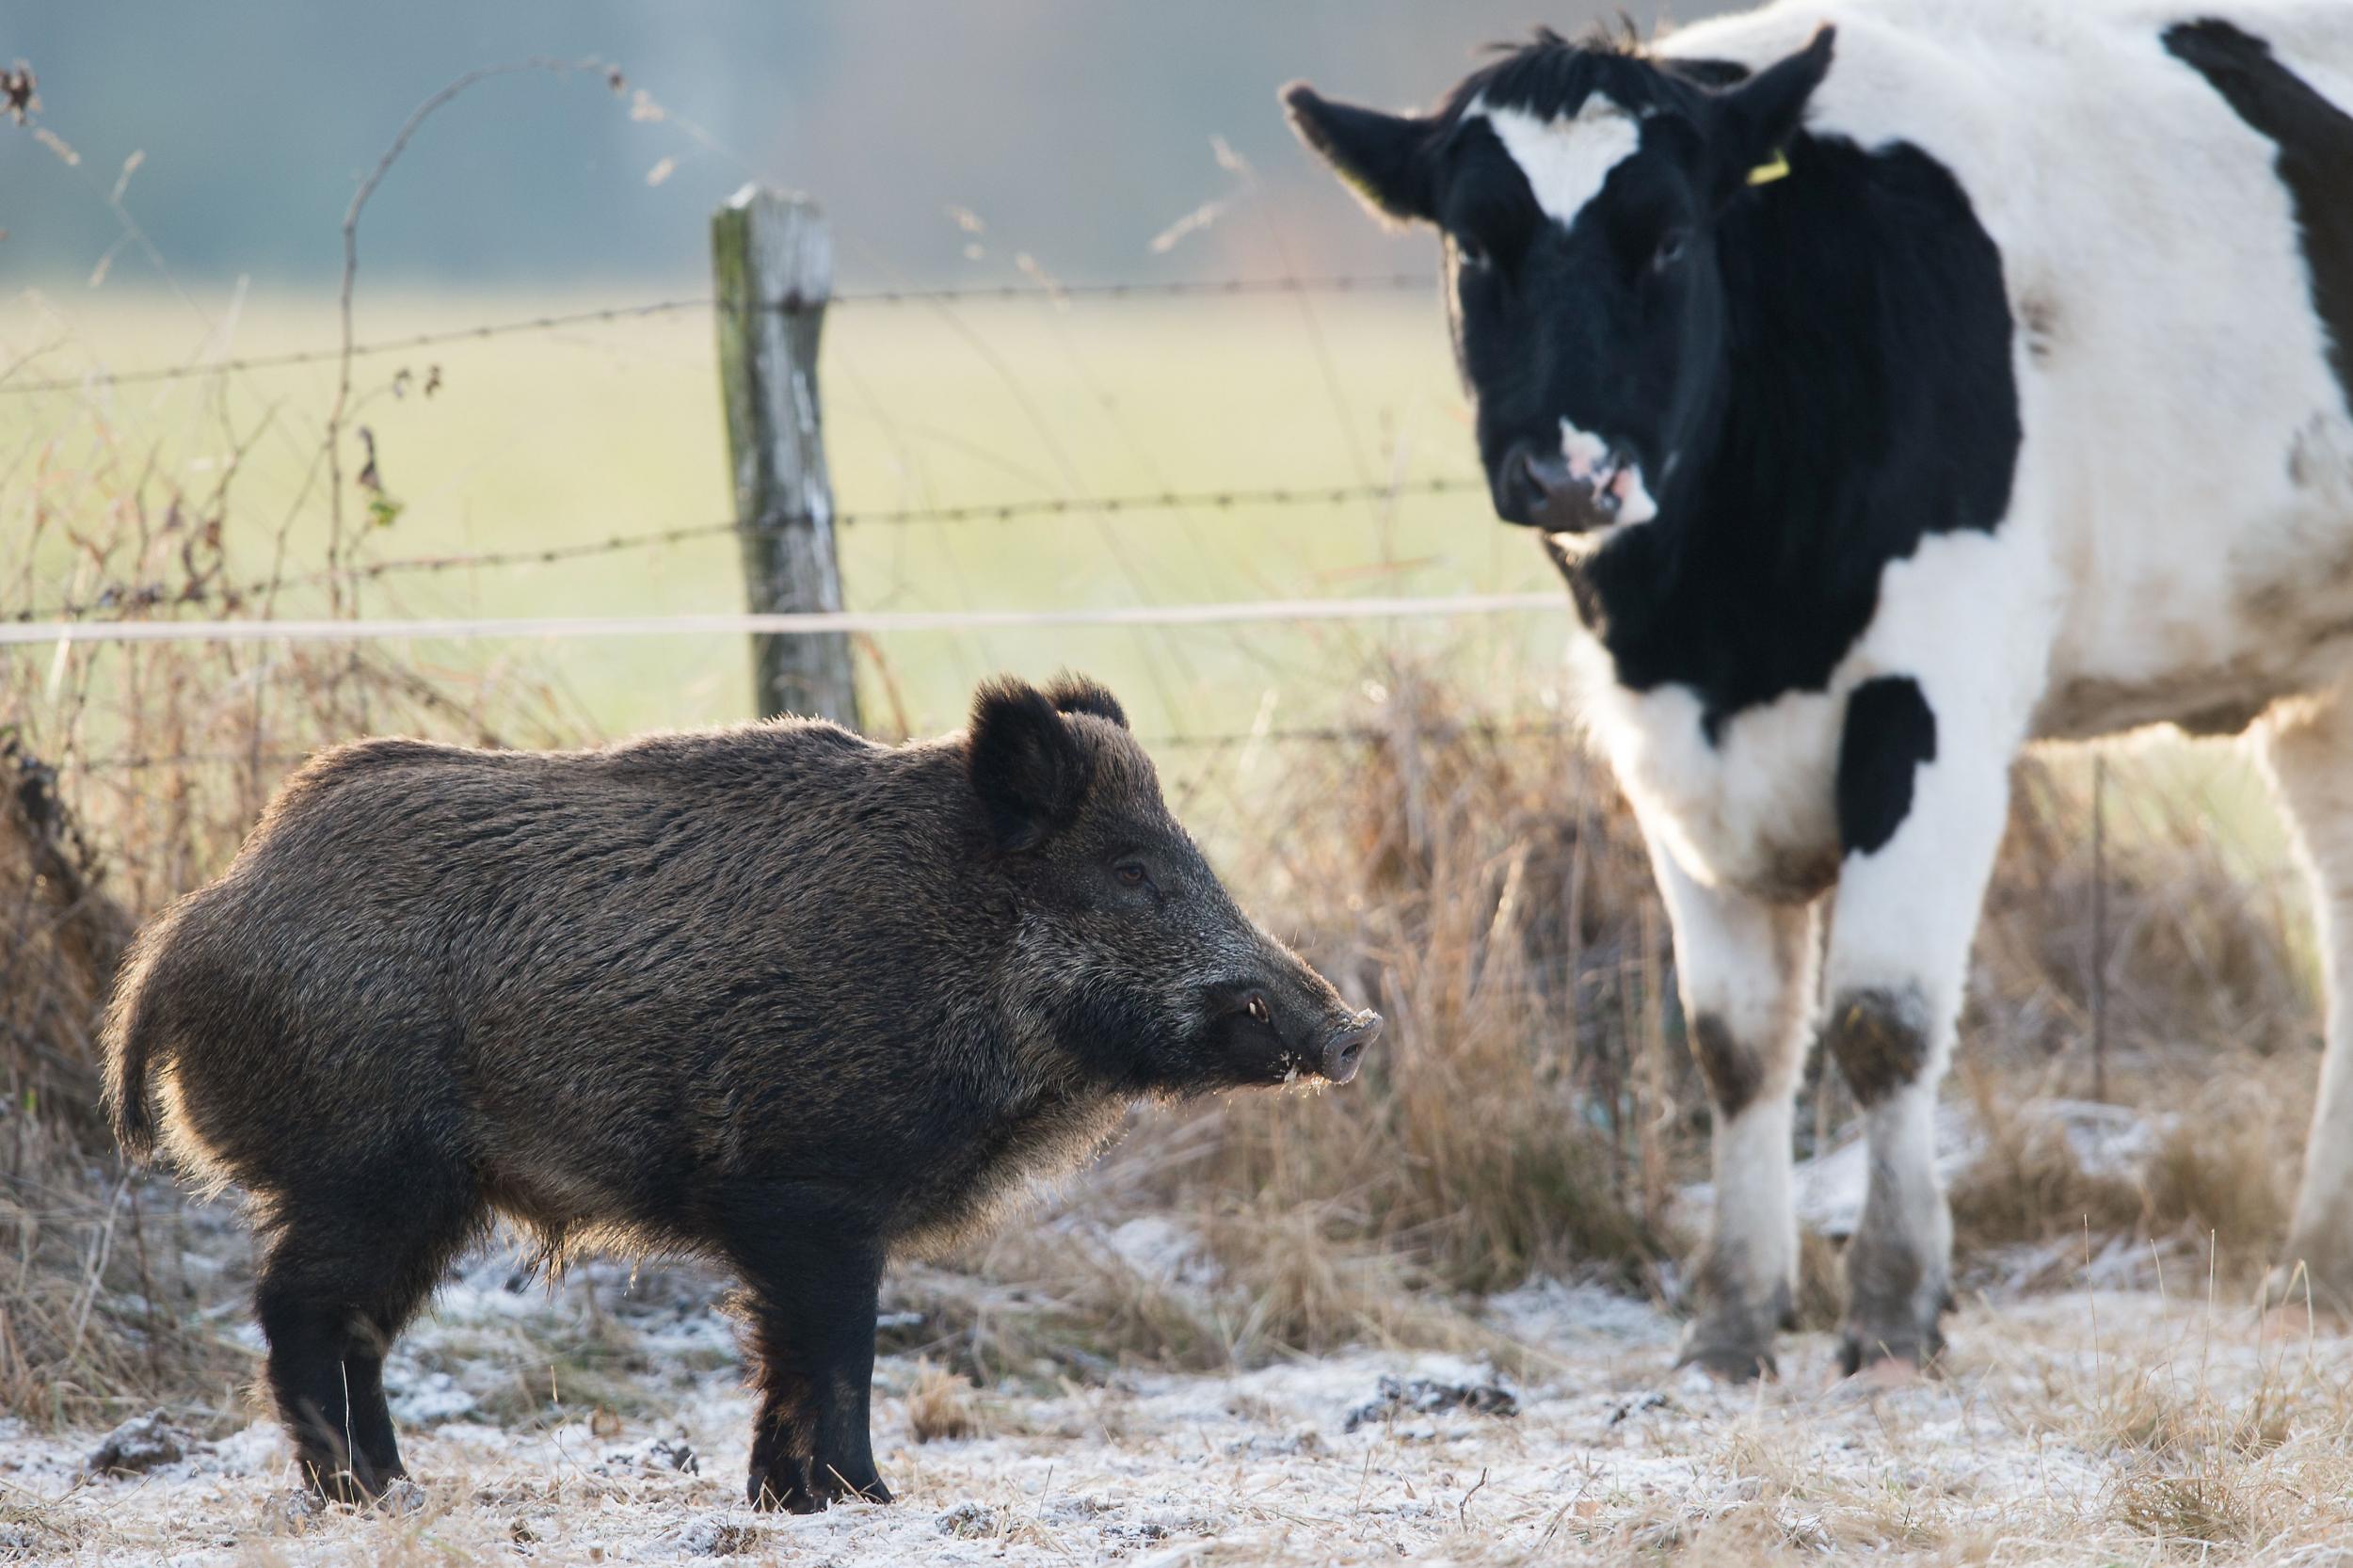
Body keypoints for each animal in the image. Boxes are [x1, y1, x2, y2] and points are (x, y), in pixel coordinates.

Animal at [1289, 0, 2353, 1365]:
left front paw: (1895, 1302)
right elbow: (1735, 1043)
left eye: (1671, 238)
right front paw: (1734, 1314)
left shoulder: (1936, 686)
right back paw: (2316, 1263)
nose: (1571, 473)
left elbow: (1878, 1019)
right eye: (1475, 243)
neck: (1721, 621)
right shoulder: (1661, 738)